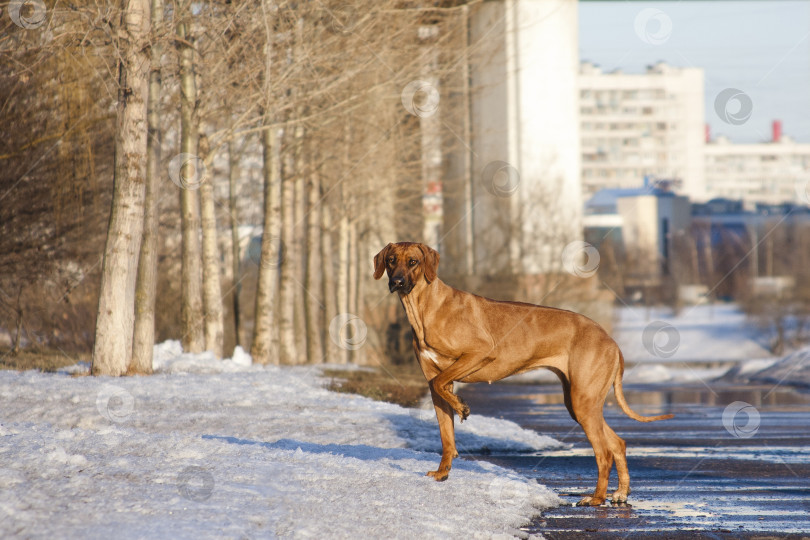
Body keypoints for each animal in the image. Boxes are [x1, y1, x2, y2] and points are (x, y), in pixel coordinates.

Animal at [372, 242, 668, 506]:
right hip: (579, 402)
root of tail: (610, 340)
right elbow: (445, 430)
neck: (425, 307)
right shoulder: (437, 387)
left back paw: (596, 498)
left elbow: (440, 381)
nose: (397, 282)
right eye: (391, 261)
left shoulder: (479, 352)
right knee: (617, 442)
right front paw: (443, 471)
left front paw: (463, 408)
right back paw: (620, 493)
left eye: (413, 261)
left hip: (583, 401)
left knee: (604, 452)